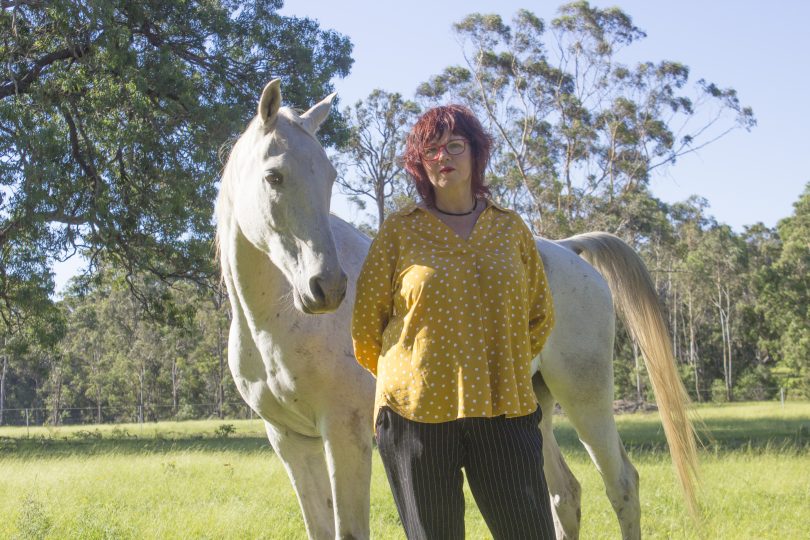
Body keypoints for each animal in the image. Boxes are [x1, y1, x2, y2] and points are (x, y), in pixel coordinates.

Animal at [215, 81, 696, 540]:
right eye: (274, 176)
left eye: (330, 177)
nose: (326, 287)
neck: (277, 325)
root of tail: (566, 248)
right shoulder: (291, 440)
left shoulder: (343, 433)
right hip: (534, 408)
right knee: (565, 495)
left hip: (586, 397)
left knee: (622, 486)